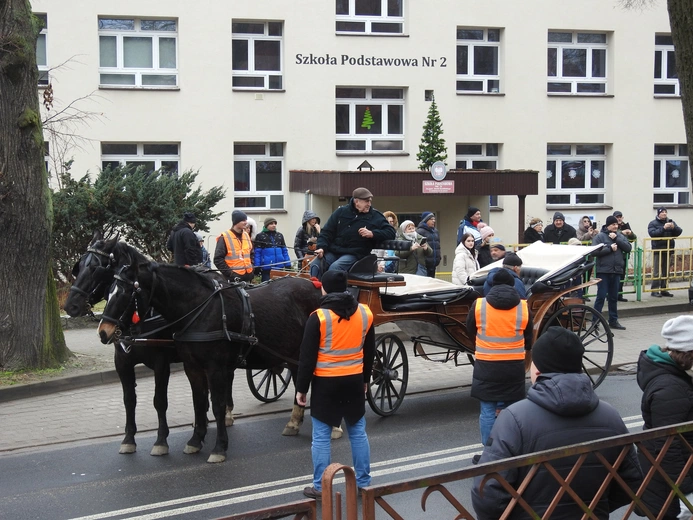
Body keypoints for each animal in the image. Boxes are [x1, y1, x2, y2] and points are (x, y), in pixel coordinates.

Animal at [96, 256, 322, 464]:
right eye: (108, 291)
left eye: (125, 293)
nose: (103, 332)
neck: (199, 309)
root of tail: (315, 285)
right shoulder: (191, 368)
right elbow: (198, 402)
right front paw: (195, 441)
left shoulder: (210, 368)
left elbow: (215, 405)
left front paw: (219, 447)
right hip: (294, 354)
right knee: (299, 379)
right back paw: (294, 422)